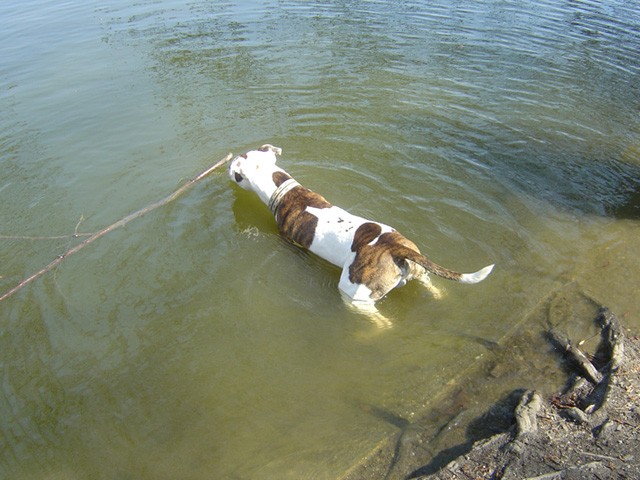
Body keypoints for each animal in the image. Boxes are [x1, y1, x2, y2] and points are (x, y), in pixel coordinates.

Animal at [230, 144, 496, 328]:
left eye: (234, 167)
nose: (227, 163)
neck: (286, 192)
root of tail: (395, 248)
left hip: (355, 294)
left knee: (381, 322)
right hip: (417, 267)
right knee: (431, 283)